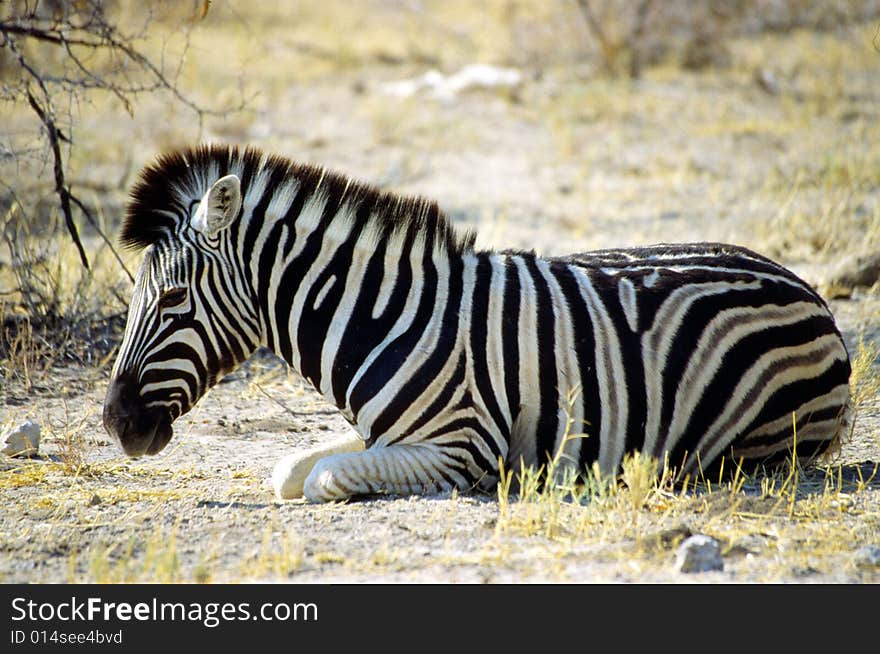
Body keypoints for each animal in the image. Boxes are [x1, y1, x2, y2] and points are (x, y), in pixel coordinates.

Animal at [103, 144, 852, 502]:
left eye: (172, 300)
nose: (114, 424)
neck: (383, 319)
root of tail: (804, 287)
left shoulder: (460, 446)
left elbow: (320, 480)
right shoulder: (381, 435)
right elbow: (290, 469)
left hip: (754, 440)